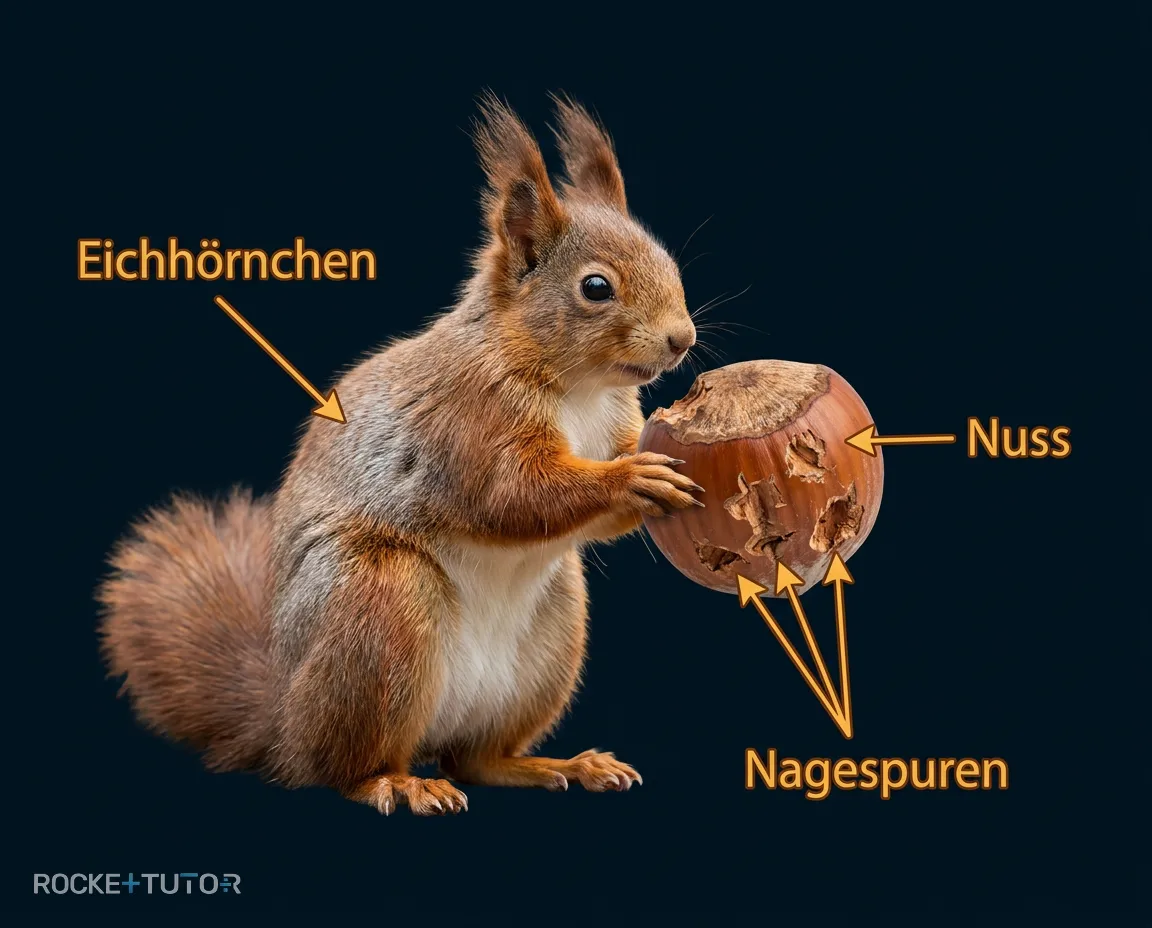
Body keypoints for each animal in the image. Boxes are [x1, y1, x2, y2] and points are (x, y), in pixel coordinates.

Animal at [98, 94, 701, 816]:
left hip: (553, 633)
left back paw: (557, 764)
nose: (682, 339)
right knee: (346, 766)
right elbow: (512, 494)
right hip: (380, 608)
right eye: (596, 287)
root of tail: (285, 720)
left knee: (477, 759)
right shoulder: (468, 420)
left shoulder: (616, 420)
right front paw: (632, 478)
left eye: (668, 261)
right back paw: (396, 782)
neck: (579, 387)